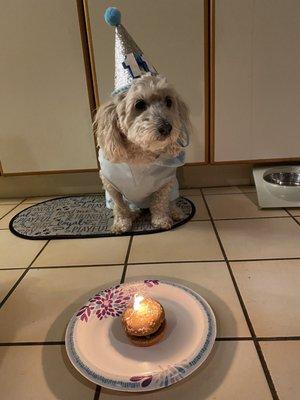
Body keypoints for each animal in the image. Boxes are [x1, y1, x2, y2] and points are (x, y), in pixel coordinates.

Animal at [94, 73, 192, 233]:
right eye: (139, 104)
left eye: (168, 101)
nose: (167, 128)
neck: (140, 155)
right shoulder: (110, 185)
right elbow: (120, 207)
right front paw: (121, 223)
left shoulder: (165, 183)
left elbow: (160, 204)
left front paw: (161, 220)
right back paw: (133, 213)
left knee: (170, 202)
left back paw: (175, 212)